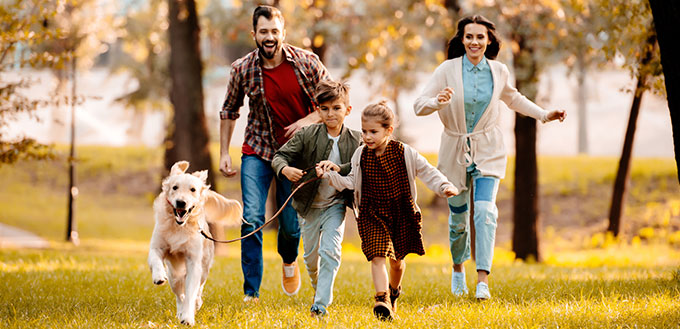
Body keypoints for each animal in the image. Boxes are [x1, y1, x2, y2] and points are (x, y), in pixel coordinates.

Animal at [149, 160, 242, 324]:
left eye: (192, 189)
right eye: (175, 187)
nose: (181, 202)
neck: (179, 226)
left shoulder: (194, 262)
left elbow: (191, 292)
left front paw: (188, 317)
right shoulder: (157, 246)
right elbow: (155, 259)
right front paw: (158, 276)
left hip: (204, 267)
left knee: (198, 288)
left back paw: (196, 304)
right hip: (174, 275)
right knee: (179, 294)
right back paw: (180, 310)